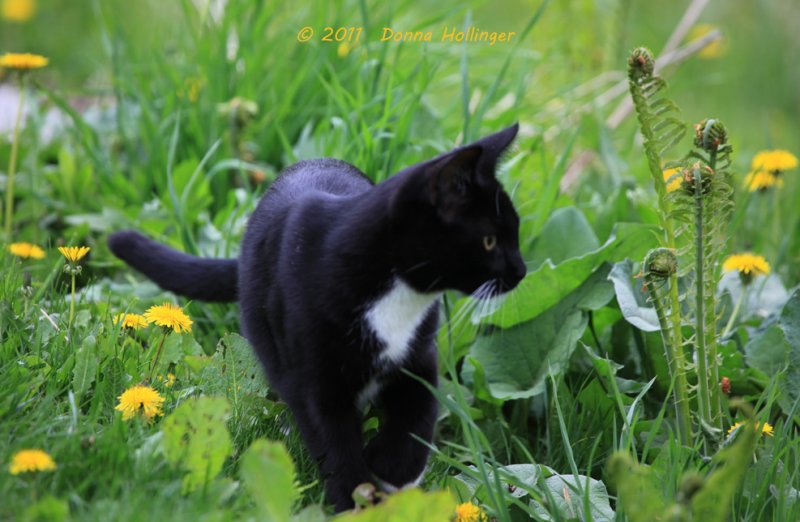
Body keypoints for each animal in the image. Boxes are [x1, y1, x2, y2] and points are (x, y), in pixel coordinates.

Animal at [109, 124, 528, 510]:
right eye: (490, 241)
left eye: (515, 234)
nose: (522, 270)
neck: (394, 295)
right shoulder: (315, 382)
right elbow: (335, 446)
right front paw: (355, 500)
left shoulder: (419, 358)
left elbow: (417, 418)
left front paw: (391, 469)